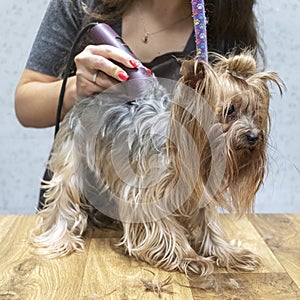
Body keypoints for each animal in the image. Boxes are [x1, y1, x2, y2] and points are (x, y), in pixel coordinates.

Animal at [30, 50, 284, 276]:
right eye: (230, 110)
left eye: (255, 112)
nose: (254, 136)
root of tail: (86, 99)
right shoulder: (147, 193)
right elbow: (165, 228)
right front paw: (188, 257)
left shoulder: (199, 190)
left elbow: (209, 224)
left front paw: (228, 253)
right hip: (72, 155)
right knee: (63, 194)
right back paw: (60, 238)